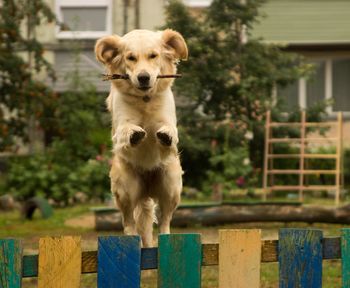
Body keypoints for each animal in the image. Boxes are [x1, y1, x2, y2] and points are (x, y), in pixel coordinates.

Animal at [94, 29, 187, 246]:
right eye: (131, 58)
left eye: (153, 56)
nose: (143, 77)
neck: (145, 99)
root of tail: (146, 190)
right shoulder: (121, 123)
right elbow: (125, 132)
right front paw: (134, 134)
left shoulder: (167, 118)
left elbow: (170, 131)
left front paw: (166, 135)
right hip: (126, 187)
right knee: (129, 221)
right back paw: (130, 238)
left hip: (171, 183)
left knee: (165, 219)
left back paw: (165, 236)